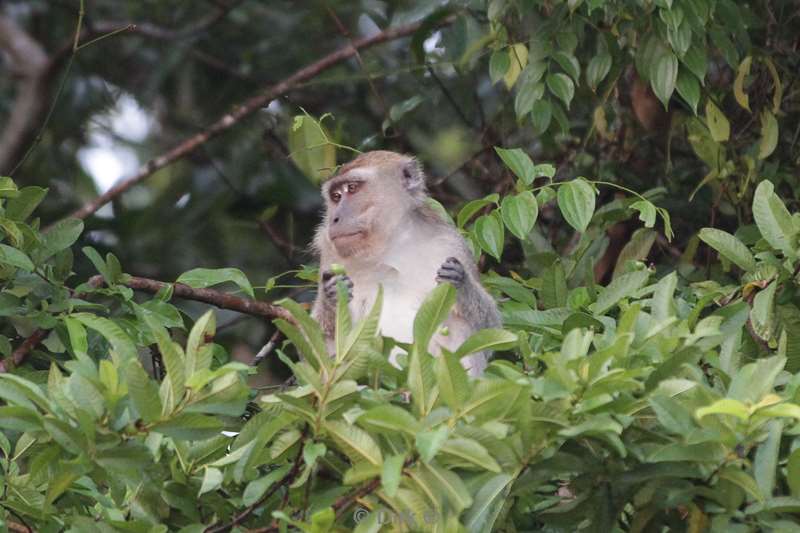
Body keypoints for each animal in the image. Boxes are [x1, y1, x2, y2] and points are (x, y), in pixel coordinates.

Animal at [312, 150, 500, 374]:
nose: (334, 218)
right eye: (336, 196)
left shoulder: (451, 243)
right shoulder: (329, 253)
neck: (391, 246)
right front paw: (332, 294)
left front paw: (461, 283)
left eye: (352, 188)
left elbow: (489, 326)